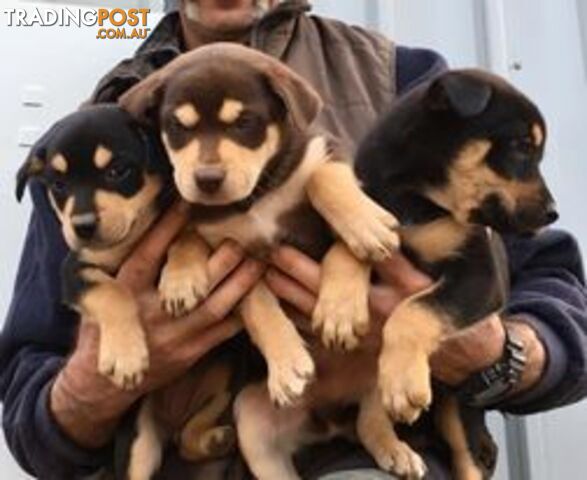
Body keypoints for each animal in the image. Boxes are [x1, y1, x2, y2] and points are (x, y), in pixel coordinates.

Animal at [16, 105, 171, 390]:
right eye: (58, 185)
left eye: (117, 171)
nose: (83, 227)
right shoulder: (74, 270)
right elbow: (112, 290)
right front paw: (125, 355)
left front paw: (184, 278)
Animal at [356, 69, 560, 478]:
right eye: (521, 146)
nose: (553, 214)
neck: (415, 195)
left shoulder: (480, 276)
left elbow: (415, 309)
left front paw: (402, 381)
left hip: (458, 410)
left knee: (467, 456)